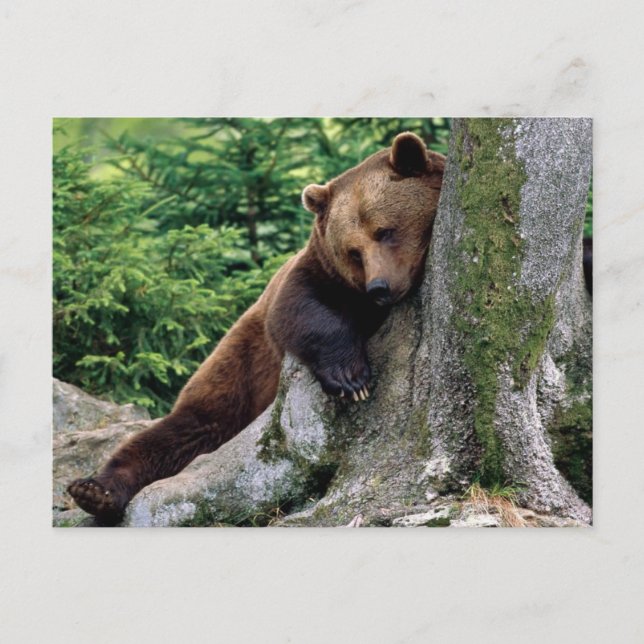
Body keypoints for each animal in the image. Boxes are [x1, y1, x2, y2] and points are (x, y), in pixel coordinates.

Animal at [67, 132, 446, 525]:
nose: (379, 287)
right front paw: (350, 378)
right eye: (353, 251)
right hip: (238, 366)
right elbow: (298, 308)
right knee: (185, 428)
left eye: (385, 230)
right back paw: (95, 490)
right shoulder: (320, 273)